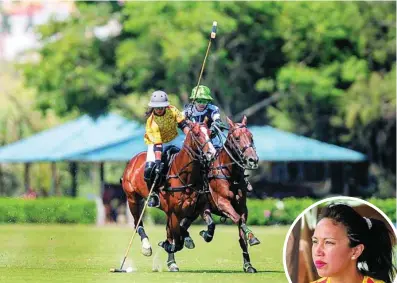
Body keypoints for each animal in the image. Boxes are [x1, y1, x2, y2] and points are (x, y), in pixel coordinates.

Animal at [120, 120, 215, 270]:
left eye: (211, 133)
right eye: (197, 134)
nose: (212, 153)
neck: (186, 177)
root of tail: (132, 162)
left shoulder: (200, 206)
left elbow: (211, 225)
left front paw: (204, 234)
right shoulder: (173, 212)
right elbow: (176, 240)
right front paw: (168, 249)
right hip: (132, 199)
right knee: (137, 222)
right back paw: (146, 247)